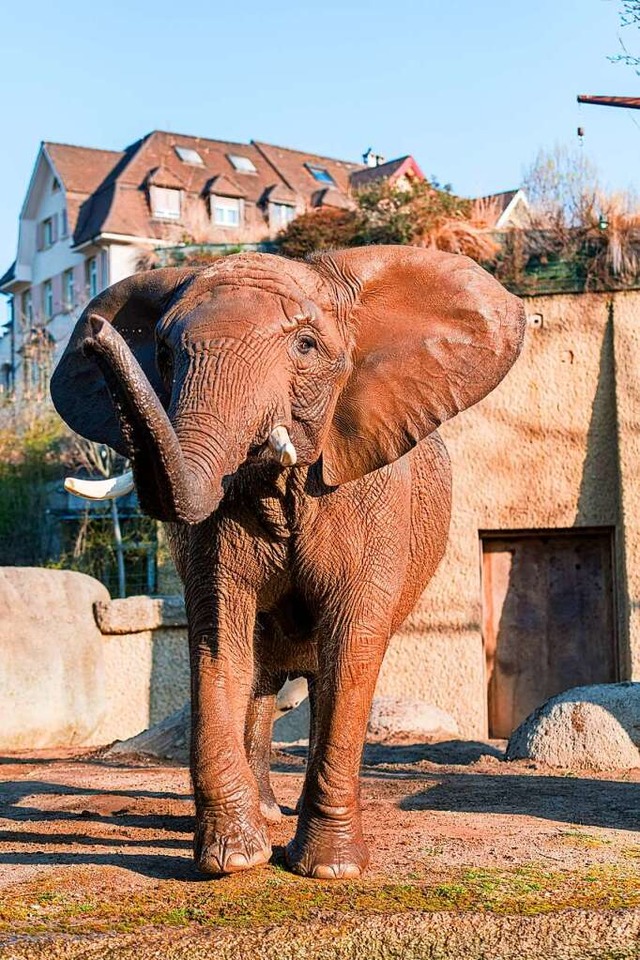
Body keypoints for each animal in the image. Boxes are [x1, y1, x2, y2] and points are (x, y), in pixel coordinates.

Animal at [52, 246, 524, 876]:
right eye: (164, 355)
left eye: (305, 347)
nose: (98, 336)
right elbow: (217, 636)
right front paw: (233, 860)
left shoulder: (370, 491)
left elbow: (353, 643)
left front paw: (329, 869)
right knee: (260, 675)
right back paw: (267, 813)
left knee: (323, 676)